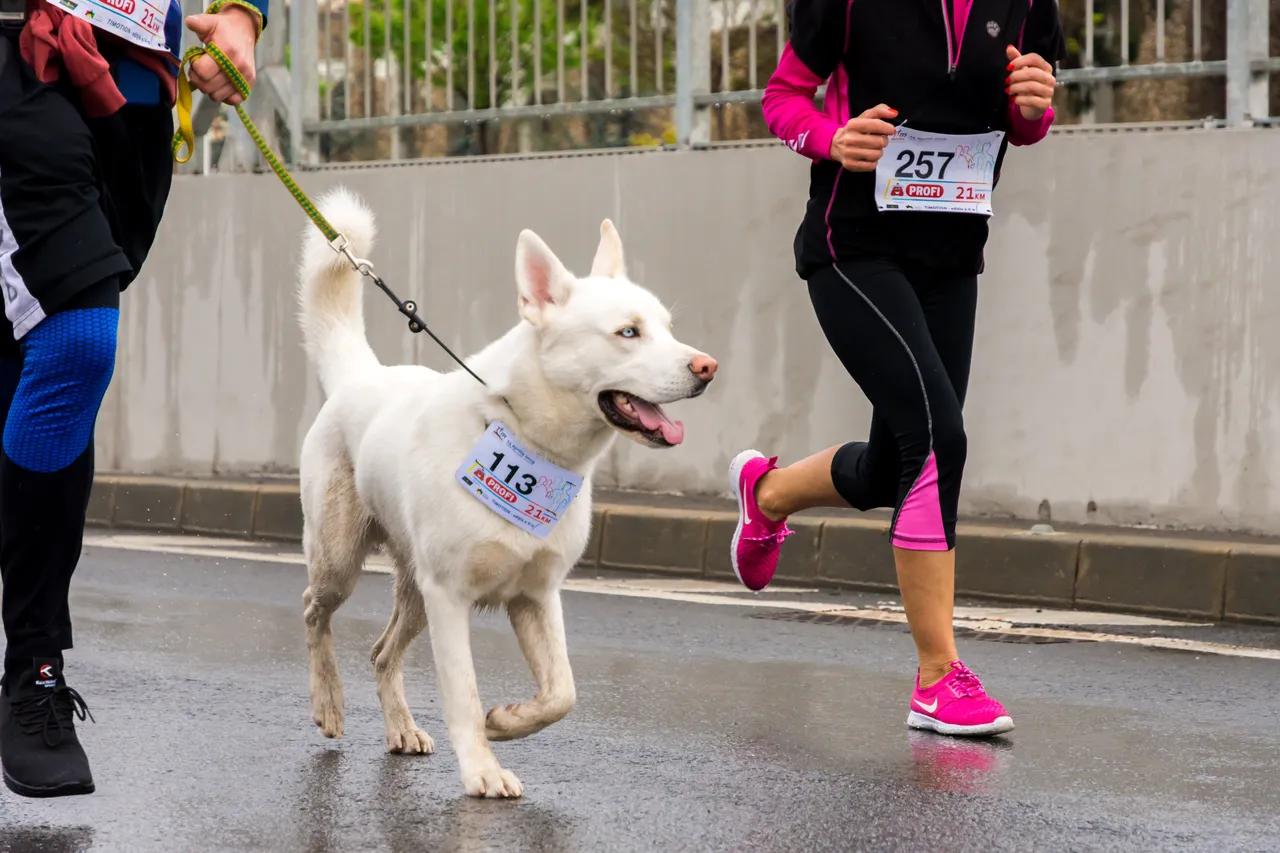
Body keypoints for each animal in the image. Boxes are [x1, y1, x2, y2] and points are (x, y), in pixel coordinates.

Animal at [294, 188, 716, 799]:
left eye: (665, 326)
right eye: (628, 333)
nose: (708, 366)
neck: (524, 435)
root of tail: (360, 376)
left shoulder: (537, 596)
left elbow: (562, 694)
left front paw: (508, 721)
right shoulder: (450, 598)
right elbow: (463, 695)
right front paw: (482, 769)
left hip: (414, 591)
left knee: (380, 653)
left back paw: (400, 727)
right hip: (341, 562)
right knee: (314, 612)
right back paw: (327, 700)